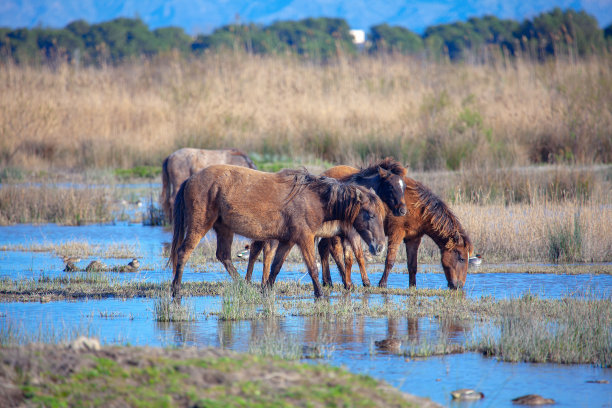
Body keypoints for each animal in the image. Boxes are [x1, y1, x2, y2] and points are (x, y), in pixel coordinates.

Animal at [170, 164, 384, 298]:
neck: (314, 198)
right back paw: (176, 289)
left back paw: (244, 286)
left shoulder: (288, 241)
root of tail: (190, 179)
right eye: (369, 215)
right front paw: (320, 294)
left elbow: (275, 266)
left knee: (223, 256)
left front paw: (266, 290)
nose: (380, 246)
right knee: (184, 252)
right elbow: (312, 268)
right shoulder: (305, 238)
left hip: (224, 228)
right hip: (200, 225)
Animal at [241, 158, 408, 288]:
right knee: (267, 252)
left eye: (404, 186)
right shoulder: (350, 233)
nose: (402, 210)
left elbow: (346, 257)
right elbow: (356, 255)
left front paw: (347, 282)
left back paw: (249, 280)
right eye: (390, 185)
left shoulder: (340, 234)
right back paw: (262, 281)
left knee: (256, 249)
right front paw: (363, 282)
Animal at [320, 169, 474, 290]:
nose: (459, 285)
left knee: (324, 249)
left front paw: (412, 286)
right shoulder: (397, 233)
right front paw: (382, 284)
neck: (418, 207)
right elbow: (390, 260)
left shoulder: (413, 238)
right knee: (335, 251)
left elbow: (412, 265)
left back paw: (329, 282)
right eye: (461, 258)